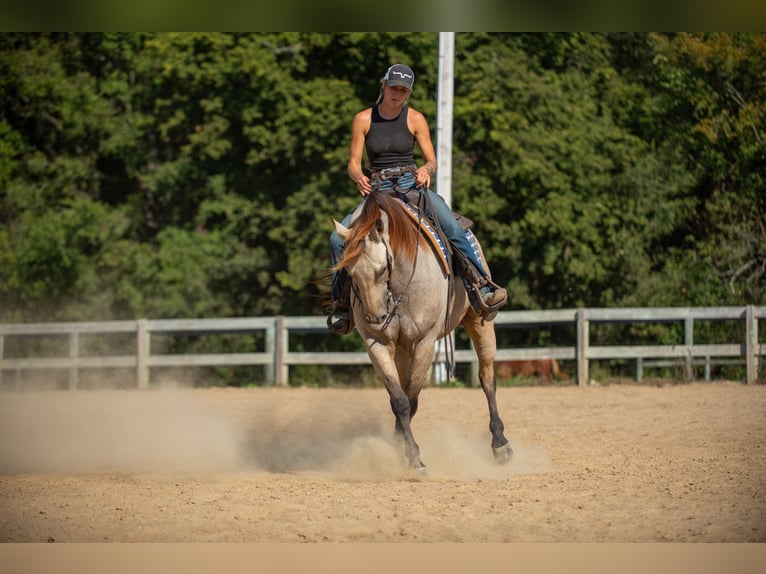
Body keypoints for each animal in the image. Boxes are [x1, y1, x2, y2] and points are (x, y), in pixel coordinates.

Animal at [332, 189, 512, 471]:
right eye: (348, 272)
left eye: (382, 269)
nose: (375, 318)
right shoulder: (377, 343)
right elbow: (399, 400)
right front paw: (406, 454)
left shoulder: (425, 342)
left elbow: (413, 400)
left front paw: (412, 456)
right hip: (402, 350)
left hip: (480, 321)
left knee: (487, 379)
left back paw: (500, 444)